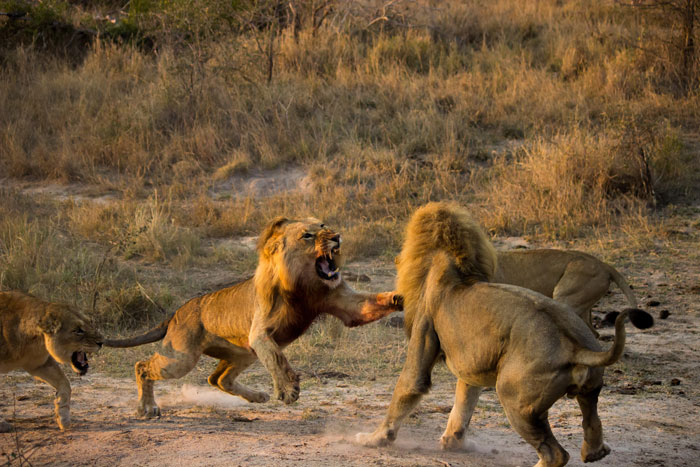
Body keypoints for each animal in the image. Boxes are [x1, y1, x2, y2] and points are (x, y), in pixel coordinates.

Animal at [0, 292, 104, 432]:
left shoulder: (39, 364)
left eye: (90, 322)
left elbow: (65, 384)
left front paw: (63, 418)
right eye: (78, 330)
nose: (101, 342)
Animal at [102, 216, 400, 416]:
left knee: (217, 379)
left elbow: (369, 304)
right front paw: (288, 391)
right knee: (142, 366)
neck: (305, 285)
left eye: (325, 225)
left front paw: (399, 297)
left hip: (243, 353)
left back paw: (258, 397)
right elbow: (277, 358)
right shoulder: (260, 333)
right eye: (307, 235)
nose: (337, 237)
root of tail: (177, 312)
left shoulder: (343, 303)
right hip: (181, 358)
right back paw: (147, 408)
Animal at [356, 204, 628, 467]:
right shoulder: (472, 363)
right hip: (590, 387)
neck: (458, 267)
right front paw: (452, 442)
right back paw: (594, 451)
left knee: (555, 454)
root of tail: (576, 347)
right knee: (592, 423)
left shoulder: (424, 327)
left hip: (515, 398)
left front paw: (372, 438)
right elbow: (464, 402)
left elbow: (408, 386)